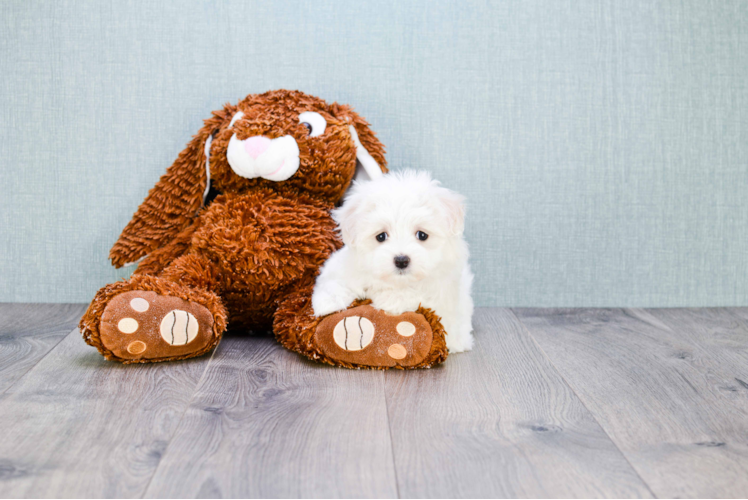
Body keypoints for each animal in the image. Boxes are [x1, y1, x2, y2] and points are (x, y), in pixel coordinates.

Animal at [312, 170, 476, 354]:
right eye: (381, 236)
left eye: (422, 235)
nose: (401, 260)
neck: (395, 282)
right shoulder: (342, 266)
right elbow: (333, 281)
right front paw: (327, 302)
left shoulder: (441, 289)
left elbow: (417, 296)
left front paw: (387, 299)